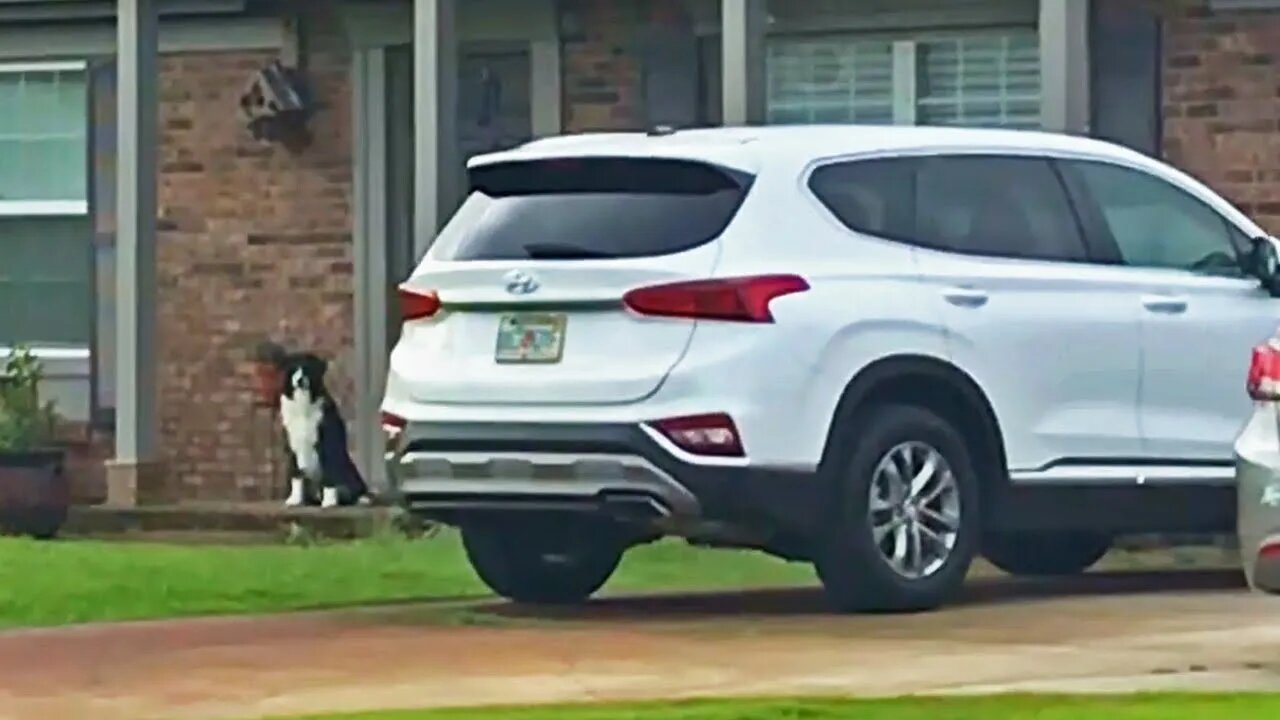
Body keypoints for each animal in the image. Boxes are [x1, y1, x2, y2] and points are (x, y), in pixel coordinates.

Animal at [273, 351, 368, 507]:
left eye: (308, 368)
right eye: (293, 369)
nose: (299, 380)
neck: (303, 404)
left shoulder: (328, 444)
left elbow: (329, 476)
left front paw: (329, 501)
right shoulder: (292, 445)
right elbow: (296, 475)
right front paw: (295, 499)